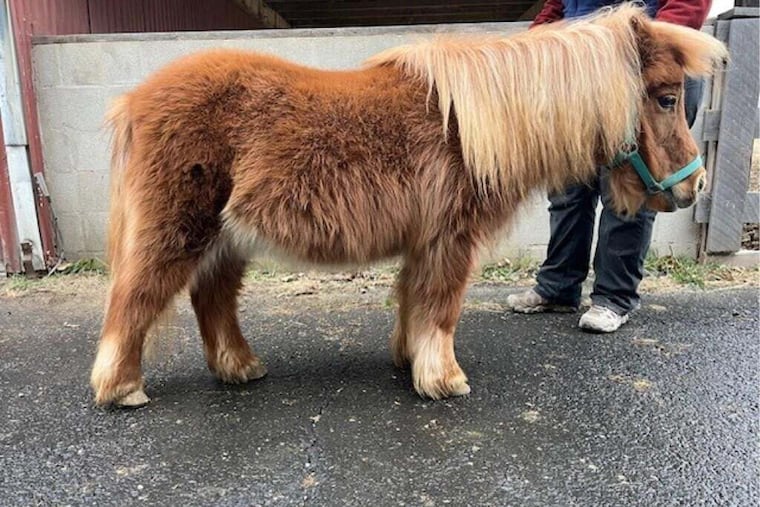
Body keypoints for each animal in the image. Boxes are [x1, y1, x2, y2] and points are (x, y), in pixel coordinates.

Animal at [90, 5, 727, 407]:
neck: (468, 130)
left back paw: (240, 369)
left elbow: (413, 301)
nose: (694, 187)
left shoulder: (425, 241)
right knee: (136, 298)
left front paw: (409, 361)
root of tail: (134, 101)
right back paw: (122, 390)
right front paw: (445, 380)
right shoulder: (451, 240)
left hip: (225, 238)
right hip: (179, 229)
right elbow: (441, 306)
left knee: (213, 298)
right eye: (666, 98)